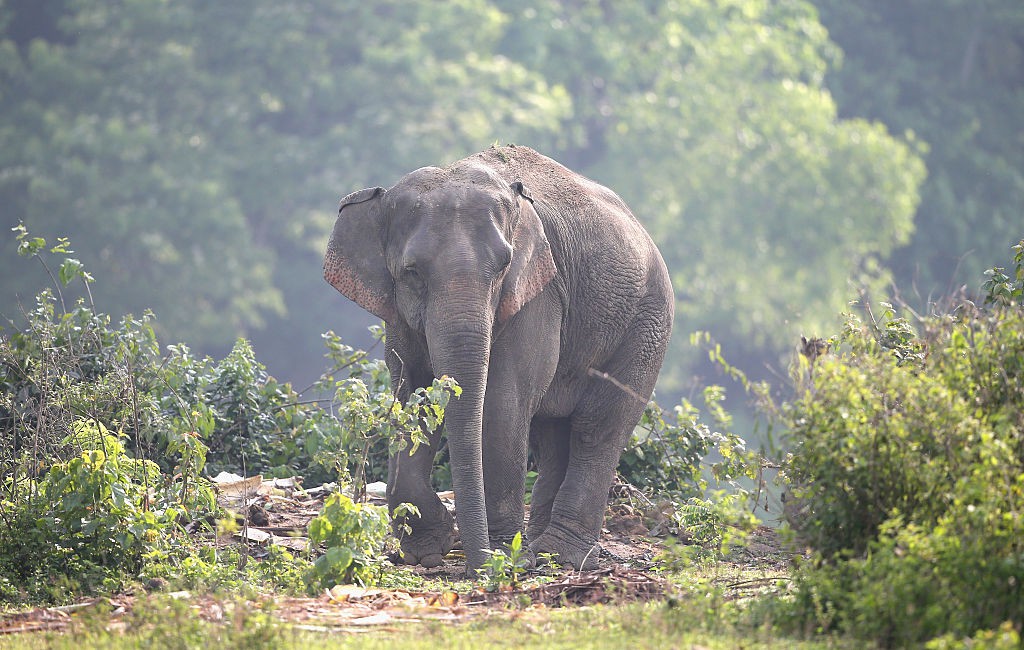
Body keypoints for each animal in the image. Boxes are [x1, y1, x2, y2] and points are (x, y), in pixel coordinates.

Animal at [321, 145, 671, 573]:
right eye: (412, 272)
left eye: (503, 267)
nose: (477, 566)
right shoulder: (398, 314)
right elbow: (412, 393)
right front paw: (427, 551)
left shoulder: (538, 294)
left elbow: (503, 402)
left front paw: (502, 554)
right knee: (552, 436)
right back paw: (539, 548)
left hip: (646, 327)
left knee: (597, 429)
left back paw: (558, 555)